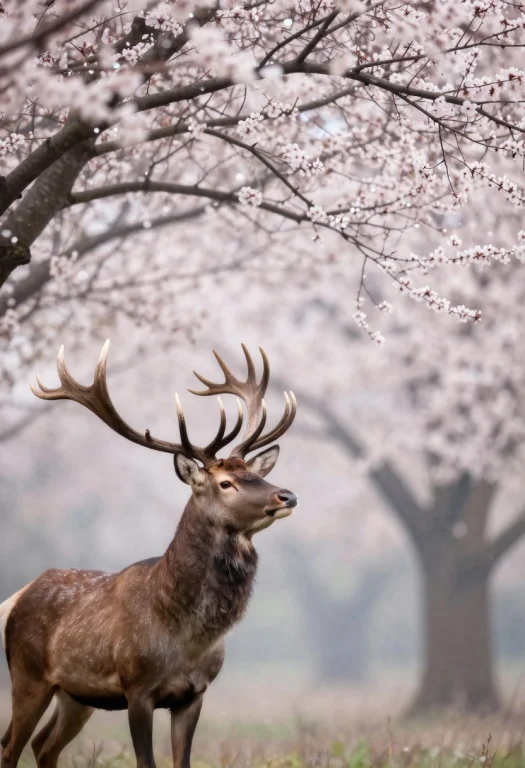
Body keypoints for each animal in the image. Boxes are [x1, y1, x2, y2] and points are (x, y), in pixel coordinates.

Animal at [0, 342, 298, 768]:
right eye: (226, 483)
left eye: (255, 473)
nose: (286, 495)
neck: (186, 636)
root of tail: (17, 596)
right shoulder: (137, 688)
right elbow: (146, 761)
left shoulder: (194, 693)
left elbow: (182, 761)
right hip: (28, 675)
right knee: (11, 746)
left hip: (76, 695)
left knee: (44, 744)